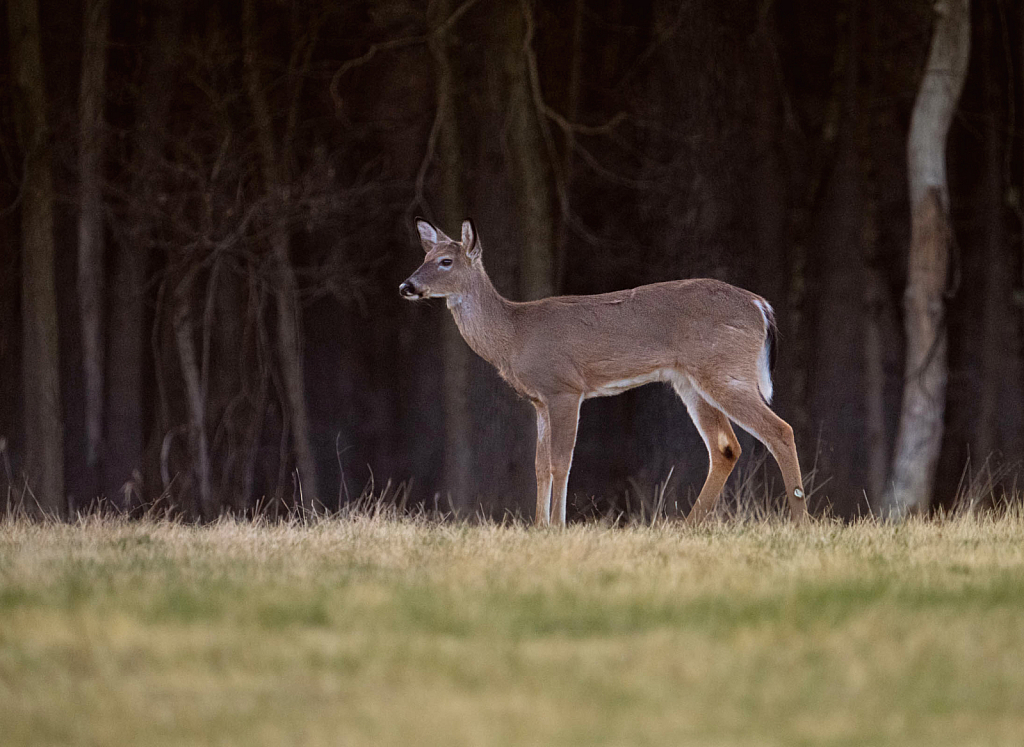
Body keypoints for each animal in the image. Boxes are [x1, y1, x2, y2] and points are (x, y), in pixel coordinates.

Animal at [399, 218, 806, 528]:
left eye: (446, 261)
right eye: (424, 256)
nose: (406, 286)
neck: (514, 335)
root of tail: (760, 304)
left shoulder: (564, 387)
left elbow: (561, 461)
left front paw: (557, 527)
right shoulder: (539, 401)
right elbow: (539, 465)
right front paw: (538, 526)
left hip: (724, 370)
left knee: (779, 430)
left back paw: (799, 523)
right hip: (690, 381)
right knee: (725, 447)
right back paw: (688, 526)